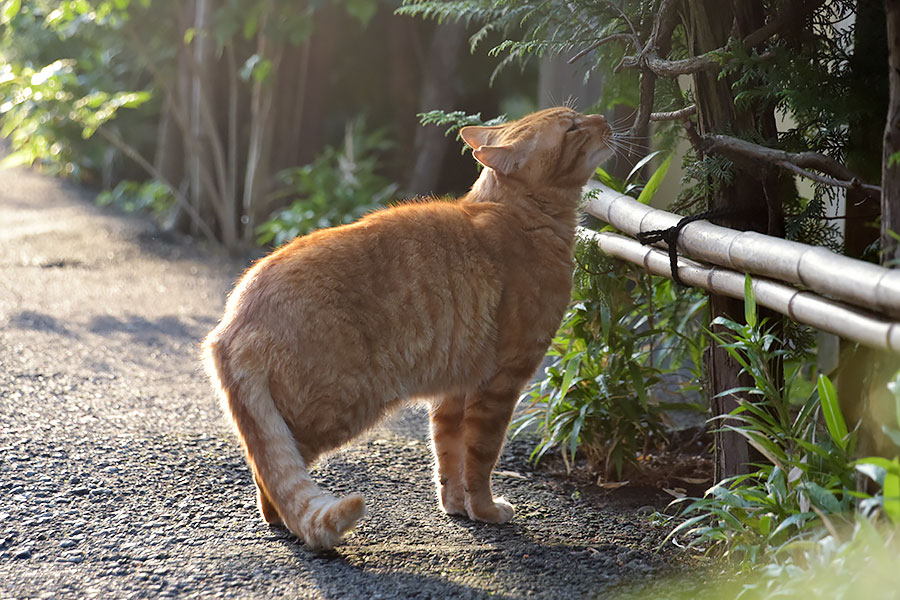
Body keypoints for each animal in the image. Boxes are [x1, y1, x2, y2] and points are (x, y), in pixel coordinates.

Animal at [201, 108, 616, 548]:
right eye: (572, 127)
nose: (603, 118)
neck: (520, 216)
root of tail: (231, 322)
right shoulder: (500, 385)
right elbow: (481, 459)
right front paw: (486, 512)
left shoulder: (453, 391)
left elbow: (450, 458)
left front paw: (456, 508)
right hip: (339, 407)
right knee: (273, 474)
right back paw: (284, 521)